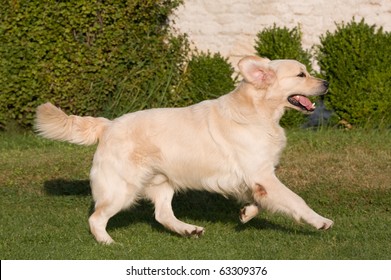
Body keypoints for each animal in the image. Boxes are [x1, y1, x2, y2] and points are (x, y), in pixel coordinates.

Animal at [36, 55, 334, 243]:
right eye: (301, 74)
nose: (327, 82)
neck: (258, 111)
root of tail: (108, 125)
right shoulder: (261, 174)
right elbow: (295, 200)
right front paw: (320, 221)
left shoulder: (255, 177)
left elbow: (257, 201)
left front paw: (247, 213)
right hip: (122, 189)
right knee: (96, 218)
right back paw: (108, 243)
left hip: (163, 182)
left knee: (162, 214)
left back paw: (188, 230)